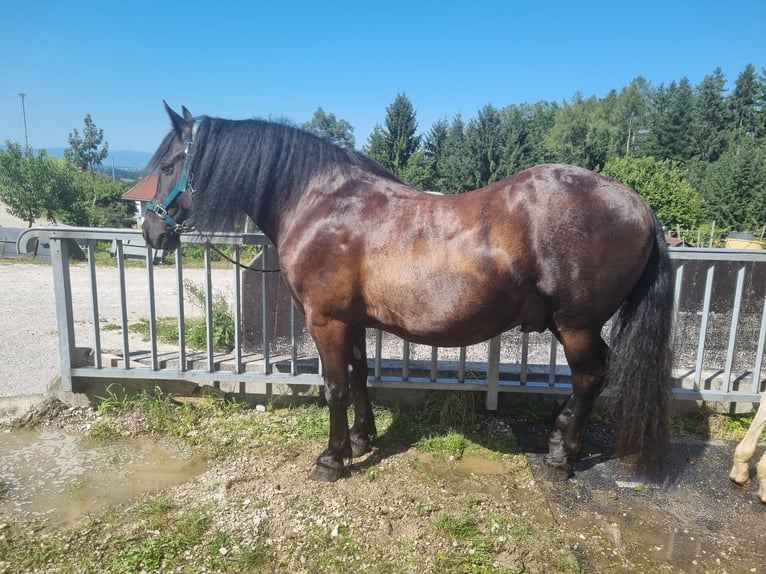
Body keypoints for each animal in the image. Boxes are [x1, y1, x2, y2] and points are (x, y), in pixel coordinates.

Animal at [143, 102, 675, 483]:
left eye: (168, 164)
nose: (150, 232)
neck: (320, 204)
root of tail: (638, 204)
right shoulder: (352, 321)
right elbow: (359, 377)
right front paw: (362, 440)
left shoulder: (326, 320)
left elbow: (335, 387)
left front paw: (332, 459)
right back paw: (561, 441)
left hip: (576, 324)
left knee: (589, 377)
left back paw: (563, 457)